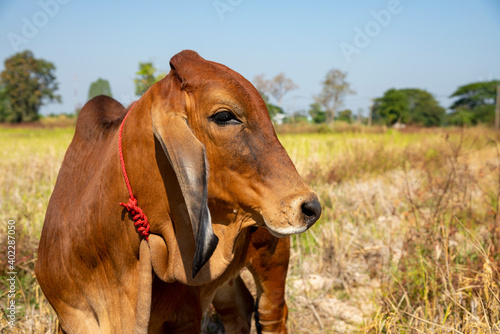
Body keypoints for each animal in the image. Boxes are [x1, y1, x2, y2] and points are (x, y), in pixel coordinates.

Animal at [36, 49, 320, 332]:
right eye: (224, 116)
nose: (311, 208)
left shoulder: (186, 317)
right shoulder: (69, 319)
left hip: (273, 259)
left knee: (271, 312)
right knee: (238, 308)